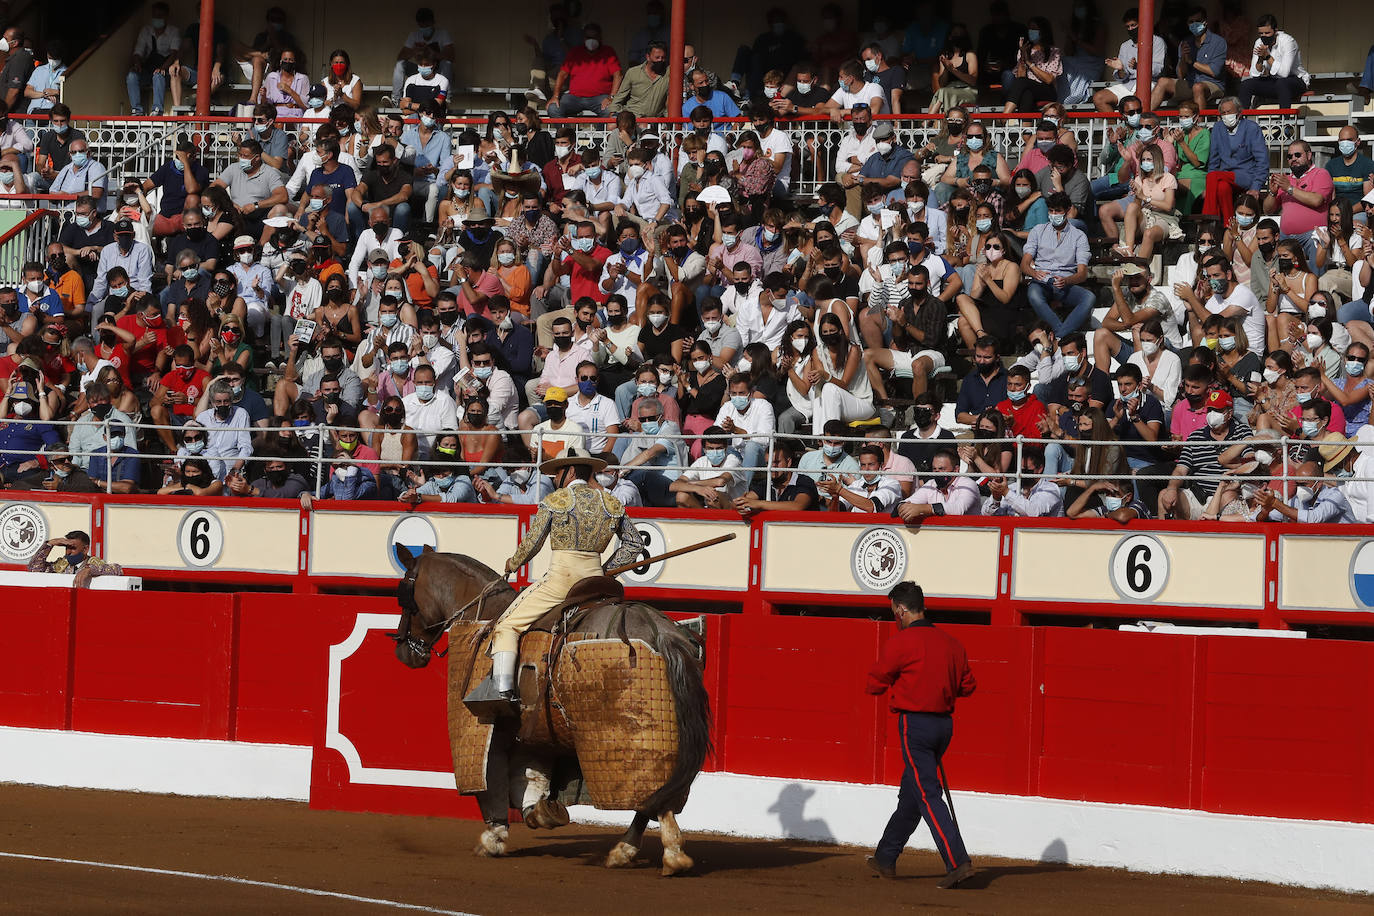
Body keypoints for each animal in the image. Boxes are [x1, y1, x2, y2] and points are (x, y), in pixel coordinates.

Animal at [387, 549, 708, 878]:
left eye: (403, 596)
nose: (404, 651)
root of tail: (659, 630)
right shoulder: (535, 732)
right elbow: (532, 775)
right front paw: (541, 813)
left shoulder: (495, 726)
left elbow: (494, 781)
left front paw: (493, 838)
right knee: (660, 791)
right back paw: (630, 850)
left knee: (654, 796)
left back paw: (667, 854)